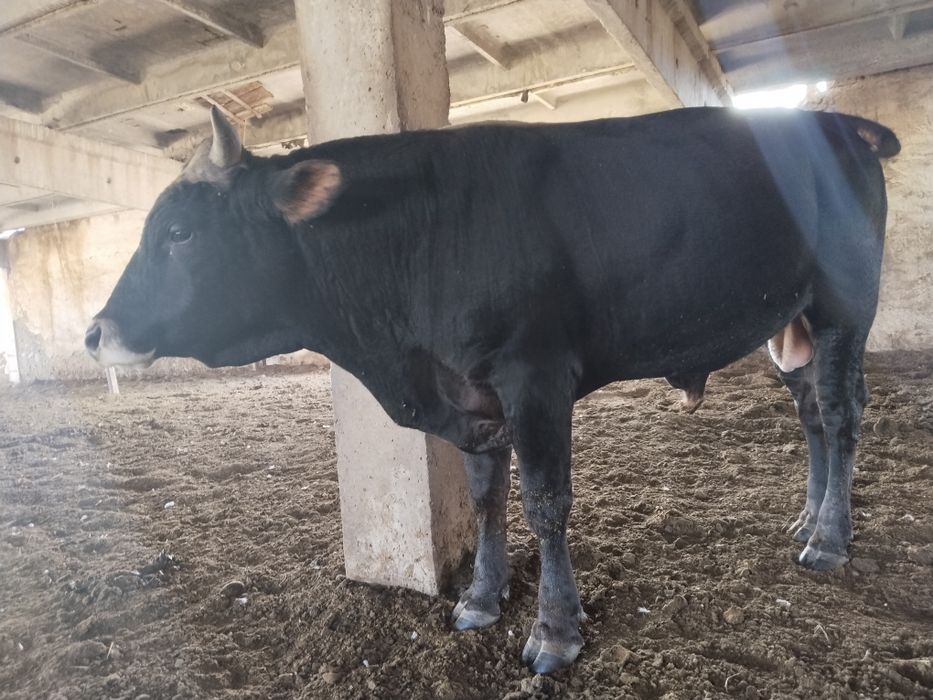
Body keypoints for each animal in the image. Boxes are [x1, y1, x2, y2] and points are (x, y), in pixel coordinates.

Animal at [85, 106, 899, 673]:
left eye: (181, 232)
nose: (95, 332)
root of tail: (837, 121)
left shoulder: (532, 375)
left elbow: (544, 502)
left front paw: (554, 632)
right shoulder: (467, 395)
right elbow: (485, 498)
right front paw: (480, 597)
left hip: (844, 305)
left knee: (841, 413)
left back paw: (829, 540)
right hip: (788, 323)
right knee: (810, 414)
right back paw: (807, 518)